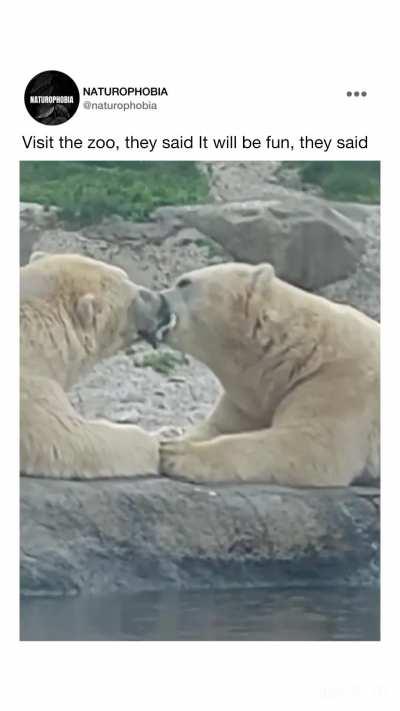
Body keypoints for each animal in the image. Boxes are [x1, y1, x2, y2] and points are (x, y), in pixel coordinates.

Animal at [20, 252, 164, 479]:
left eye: (125, 274)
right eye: (136, 296)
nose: (162, 300)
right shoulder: (29, 383)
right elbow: (70, 438)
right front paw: (166, 437)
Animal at [135, 262, 380, 487]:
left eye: (184, 282)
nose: (154, 298)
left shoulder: (337, 383)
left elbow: (309, 445)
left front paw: (176, 453)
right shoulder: (251, 394)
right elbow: (219, 426)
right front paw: (167, 439)